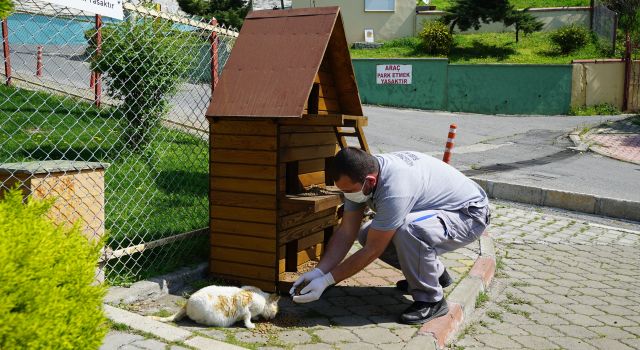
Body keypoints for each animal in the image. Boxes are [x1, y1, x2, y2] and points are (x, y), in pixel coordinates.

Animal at [151, 284, 282, 328]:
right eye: (275, 311)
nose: (273, 317)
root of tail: (187, 303)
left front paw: (255, 318)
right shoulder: (245, 304)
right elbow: (247, 315)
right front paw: (251, 325)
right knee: (197, 321)